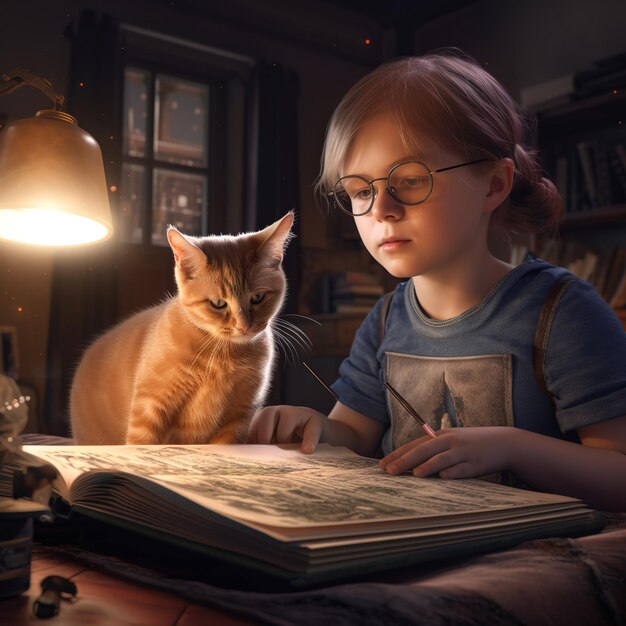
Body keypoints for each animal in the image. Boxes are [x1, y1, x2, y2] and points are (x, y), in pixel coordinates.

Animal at [69, 211, 294, 444]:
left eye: (258, 297)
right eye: (218, 303)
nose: (243, 326)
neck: (223, 354)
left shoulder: (239, 417)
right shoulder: (150, 407)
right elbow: (142, 443)